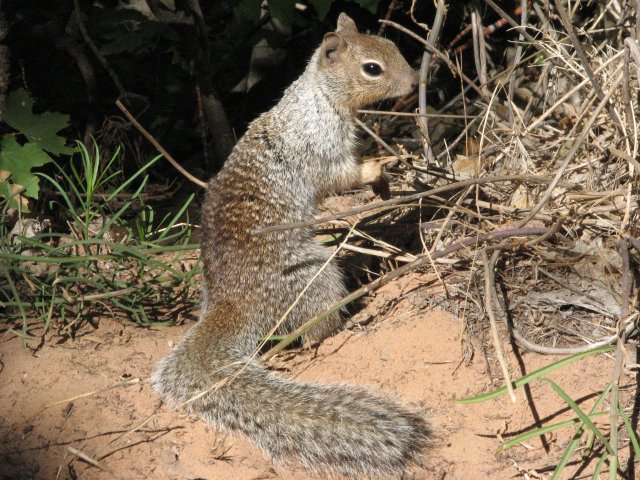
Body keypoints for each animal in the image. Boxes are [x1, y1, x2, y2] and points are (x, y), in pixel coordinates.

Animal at [151, 13, 430, 478]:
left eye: (391, 44)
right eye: (372, 68)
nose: (414, 80)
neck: (319, 99)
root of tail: (230, 302)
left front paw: (386, 181)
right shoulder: (320, 149)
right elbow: (341, 176)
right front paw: (379, 167)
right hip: (313, 276)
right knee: (314, 331)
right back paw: (349, 322)